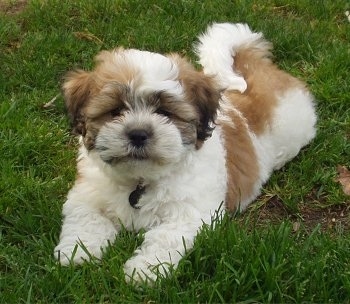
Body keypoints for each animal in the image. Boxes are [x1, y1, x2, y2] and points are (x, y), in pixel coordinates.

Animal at [54, 23, 318, 282]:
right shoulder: (86, 195)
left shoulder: (191, 213)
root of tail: (257, 70)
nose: (138, 134)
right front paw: (76, 253)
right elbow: (86, 219)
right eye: (116, 110)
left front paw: (144, 270)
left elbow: (165, 237)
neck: (140, 180)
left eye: (164, 112)